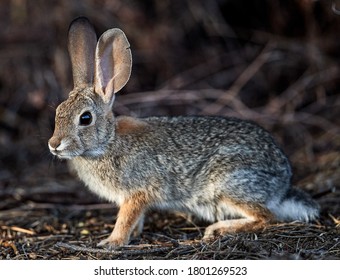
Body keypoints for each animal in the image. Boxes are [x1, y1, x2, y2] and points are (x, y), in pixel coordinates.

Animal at [48, 17, 322, 247]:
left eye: (85, 118)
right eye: (58, 111)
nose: (54, 144)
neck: (108, 142)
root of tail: (283, 184)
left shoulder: (137, 193)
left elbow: (126, 218)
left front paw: (112, 241)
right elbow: (136, 219)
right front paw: (133, 235)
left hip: (230, 184)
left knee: (266, 217)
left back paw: (218, 230)